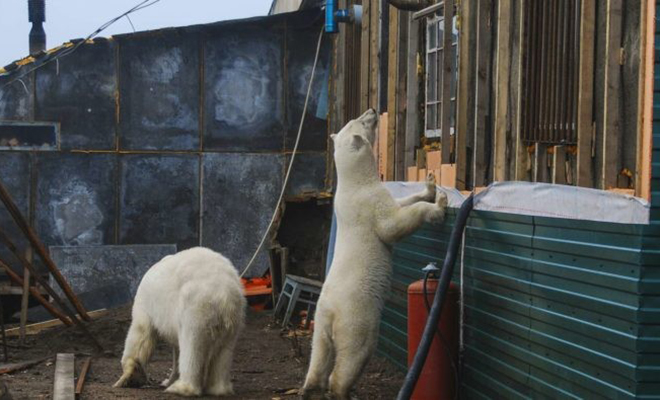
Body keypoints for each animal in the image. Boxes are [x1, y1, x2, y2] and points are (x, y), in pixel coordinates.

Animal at [113, 247, 248, 396]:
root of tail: (224, 295)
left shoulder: (146, 304)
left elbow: (141, 333)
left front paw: (127, 377)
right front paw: (168, 380)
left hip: (195, 306)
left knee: (192, 344)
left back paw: (181, 388)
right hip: (234, 317)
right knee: (224, 351)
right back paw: (219, 389)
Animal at [300, 109, 448, 400]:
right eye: (362, 121)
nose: (371, 110)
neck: (353, 182)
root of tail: (331, 313)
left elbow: (401, 202)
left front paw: (429, 185)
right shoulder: (368, 204)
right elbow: (392, 225)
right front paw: (439, 205)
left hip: (320, 321)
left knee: (319, 352)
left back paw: (310, 387)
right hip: (356, 318)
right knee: (353, 355)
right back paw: (343, 390)